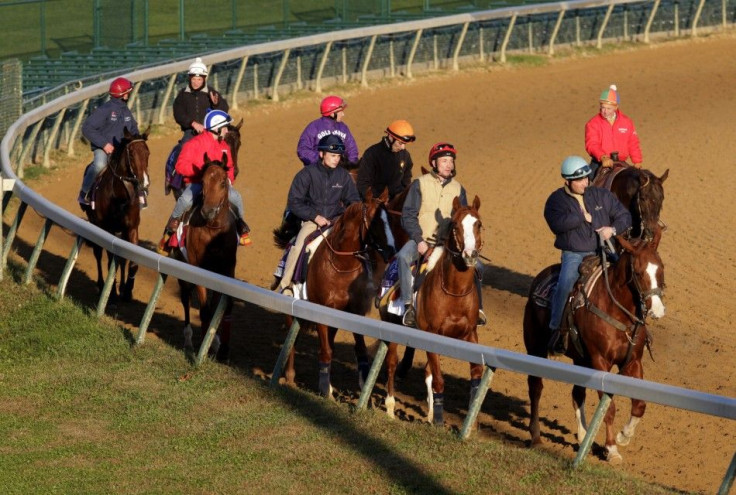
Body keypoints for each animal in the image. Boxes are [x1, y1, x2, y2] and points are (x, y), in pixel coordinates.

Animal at [84, 127, 150, 302]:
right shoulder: (108, 230)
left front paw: (127, 291)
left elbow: (132, 263)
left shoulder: (131, 228)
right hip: (95, 225)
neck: (119, 197)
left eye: (147, 153)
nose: (144, 182)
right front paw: (112, 292)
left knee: (121, 260)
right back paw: (101, 284)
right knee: (98, 253)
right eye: (131, 154)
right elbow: (110, 261)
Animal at [172, 153, 236, 362]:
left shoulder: (225, 270)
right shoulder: (198, 269)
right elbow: (205, 310)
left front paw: (223, 349)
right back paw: (189, 341)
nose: (208, 211)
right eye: (203, 181)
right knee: (185, 299)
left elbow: (224, 307)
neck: (213, 231)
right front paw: (204, 346)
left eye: (223, 182)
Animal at [282, 188, 396, 398]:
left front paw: (364, 386)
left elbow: (359, 349)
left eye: (390, 219)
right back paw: (290, 375)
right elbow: (325, 351)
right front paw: (326, 389)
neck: (341, 266)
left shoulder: (353, 312)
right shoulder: (321, 311)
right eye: (375, 221)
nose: (391, 251)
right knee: (292, 341)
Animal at [382, 196, 486, 424]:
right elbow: (439, 379)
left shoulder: (470, 334)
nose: (470, 255)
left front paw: (471, 422)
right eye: (455, 225)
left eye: (478, 224)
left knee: (427, 372)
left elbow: (475, 376)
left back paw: (429, 412)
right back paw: (391, 407)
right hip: (391, 326)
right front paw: (439, 421)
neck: (454, 292)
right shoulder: (433, 334)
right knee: (391, 364)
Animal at [524, 227, 668, 466]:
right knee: (535, 387)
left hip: (580, 358)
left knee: (577, 393)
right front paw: (611, 449)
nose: (657, 310)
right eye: (638, 272)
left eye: (661, 269)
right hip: (535, 347)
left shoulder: (632, 361)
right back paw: (536, 436)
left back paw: (584, 436)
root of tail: (540, 278)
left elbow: (639, 405)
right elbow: (608, 408)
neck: (617, 311)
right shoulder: (600, 361)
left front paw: (623, 436)